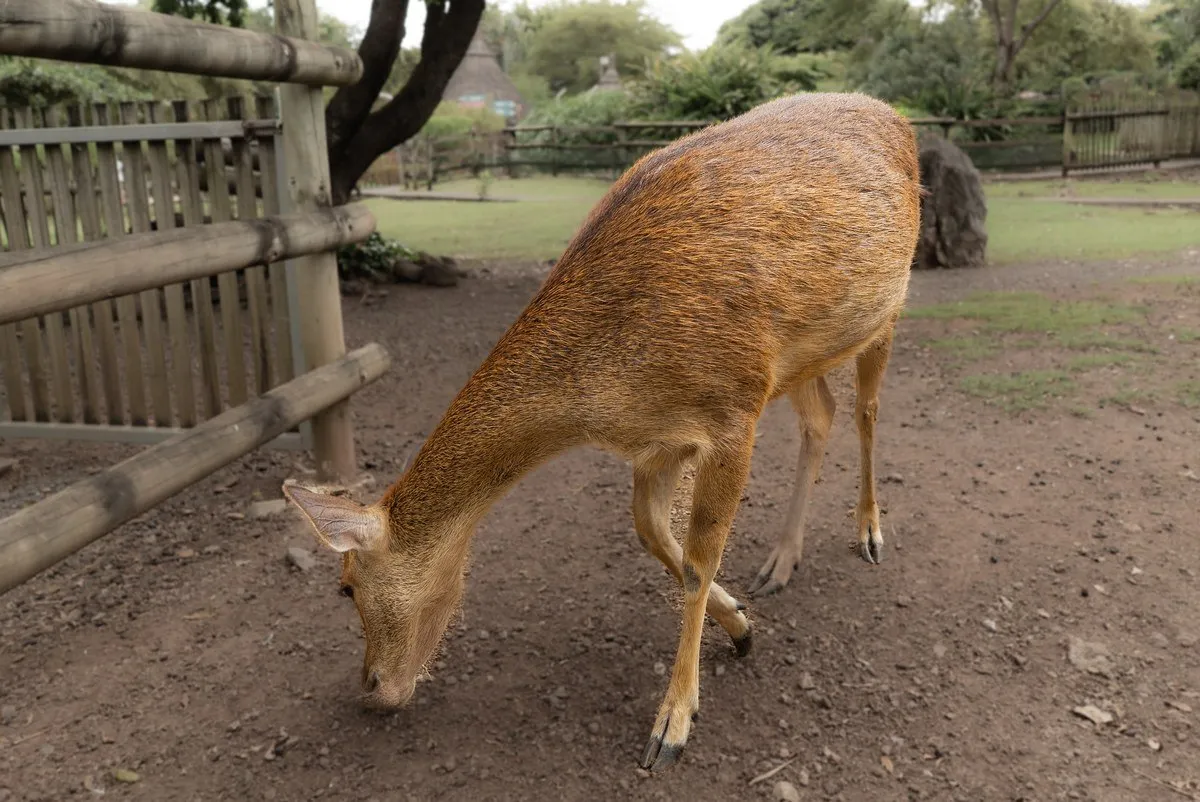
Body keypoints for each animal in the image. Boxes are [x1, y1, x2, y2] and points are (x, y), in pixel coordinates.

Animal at [282, 91, 921, 771]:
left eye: (345, 587)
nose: (373, 687)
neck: (604, 386)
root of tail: (897, 116)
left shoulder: (733, 407)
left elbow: (697, 560)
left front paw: (672, 724)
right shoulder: (659, 442)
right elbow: (653, 534)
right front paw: (743, 624)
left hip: (888, 307)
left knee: (867, 410)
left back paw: (870, 532)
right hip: (806, 354)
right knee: (820, 415)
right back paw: (780, 562)